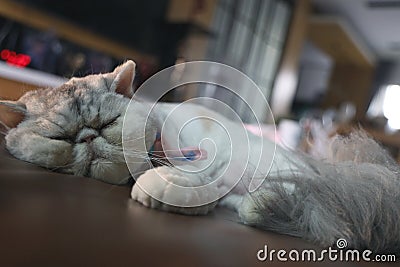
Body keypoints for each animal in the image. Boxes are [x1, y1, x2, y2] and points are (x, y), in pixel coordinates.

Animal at [0, 61, 400, 258]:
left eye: (108, 123)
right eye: (61, 138)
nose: (87, 137)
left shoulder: (204, 152)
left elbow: (189, 174)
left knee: (302, 195)